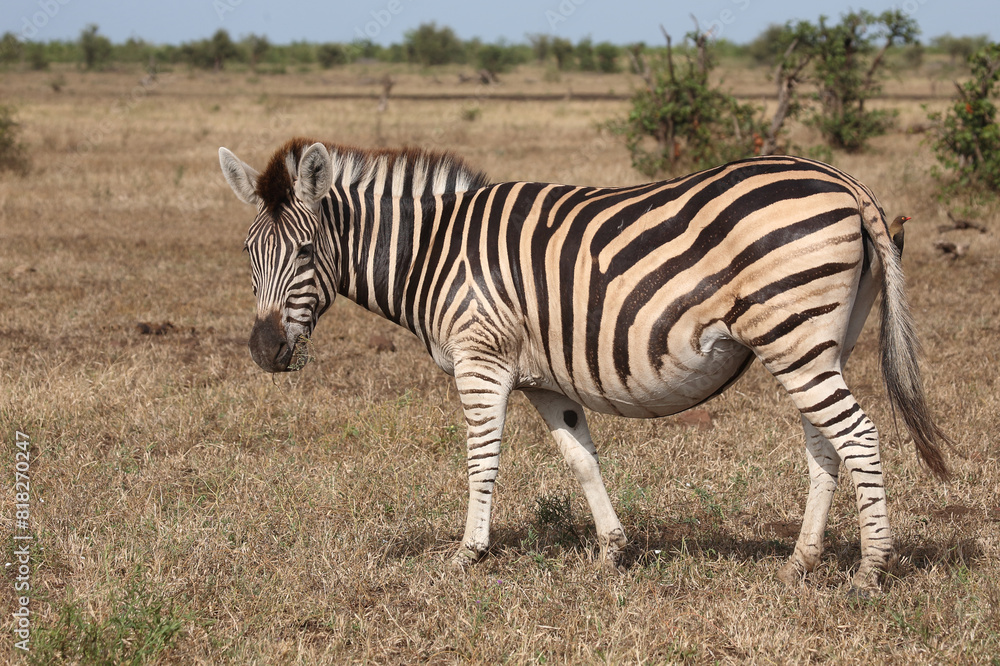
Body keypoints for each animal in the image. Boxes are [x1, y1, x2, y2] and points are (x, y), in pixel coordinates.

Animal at [218, 138, 950, 588]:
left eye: (305, 251)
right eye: (249, 252)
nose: (264, 351)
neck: (433, 250)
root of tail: (846, 183)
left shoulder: (481, 360)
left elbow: (482, 459)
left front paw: (466, 554)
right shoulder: (544, 379)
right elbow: (581, 458)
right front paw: (612, 551)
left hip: (794, 335)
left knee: (858, 435)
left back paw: (870, 570)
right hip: (815, 340)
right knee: (827, 444)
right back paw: (800, 563)